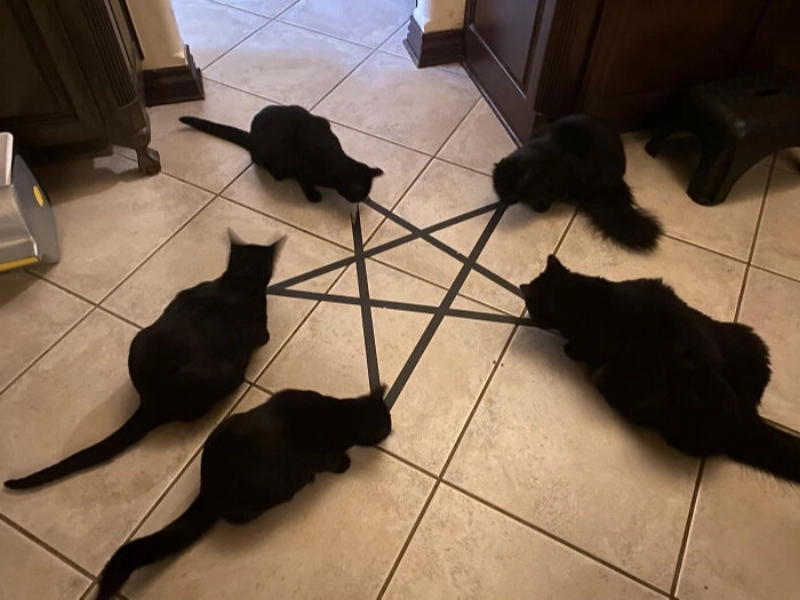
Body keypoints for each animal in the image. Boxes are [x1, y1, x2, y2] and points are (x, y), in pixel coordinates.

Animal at [4, 231, 281, 490]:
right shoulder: (259, 327)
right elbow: (264, 335)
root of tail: (151, 401)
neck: (237, 280)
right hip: (224, 374)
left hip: (138, 340)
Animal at [94, 385, 392, 600]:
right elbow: (330, 461)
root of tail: (208, 491)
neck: (339, 414)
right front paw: (344, 463)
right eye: (387, 426)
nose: (392, 429)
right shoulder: (320, 456)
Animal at [179, 105, 384, 203]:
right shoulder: (302, 166)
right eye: (359, 194)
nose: (364, 200)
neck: (335, 161)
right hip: (266, 155)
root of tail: (251, 135)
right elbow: (305, 181)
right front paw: (313, 196)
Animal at [493, 114, 663, 251]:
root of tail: (617, 182)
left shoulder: (559, 178)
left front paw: (540, 207)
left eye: (509, 194)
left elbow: (546, 197)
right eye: (499, 192)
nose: (503, 202)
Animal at [520, 255, 800, 483]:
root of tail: (746, 415)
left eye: (532, 308)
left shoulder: (593, 345)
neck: (579, 296)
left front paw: (568, 349)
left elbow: (581, 349)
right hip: (750, 339)